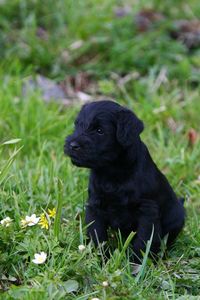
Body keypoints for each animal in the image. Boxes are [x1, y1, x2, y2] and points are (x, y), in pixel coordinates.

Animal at [65, 101, 185, 262]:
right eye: (77, 125)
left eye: (99, 130)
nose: (72, 145)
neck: (112, 173)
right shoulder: (95, 206)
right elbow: (97, 235)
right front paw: (101, 259)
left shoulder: (147, 211)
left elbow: (143, 240)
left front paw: (137, 262)